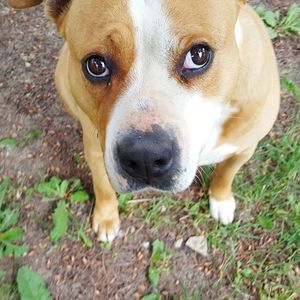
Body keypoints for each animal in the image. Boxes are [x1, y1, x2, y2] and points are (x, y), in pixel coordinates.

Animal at [9, 0, 282, 243]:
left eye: (198, 55)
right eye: (96, 65)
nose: (145, 157)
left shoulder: (244, 148)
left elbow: (226, 173)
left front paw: (221, 200)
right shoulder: (96, 151)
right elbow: (102, 185)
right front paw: (106, 217)